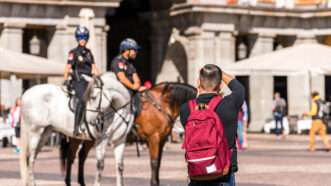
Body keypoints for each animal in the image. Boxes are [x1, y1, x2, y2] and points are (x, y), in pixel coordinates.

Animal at [60, 82, 197, 186]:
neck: (161, 104)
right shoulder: (153, 139)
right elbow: (154, 163)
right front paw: (154, 183)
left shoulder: (161, 140)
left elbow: (158, 163)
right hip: (77, 138)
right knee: (71, 156)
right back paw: (68, 181)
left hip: (91, 139)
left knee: (81, 156)